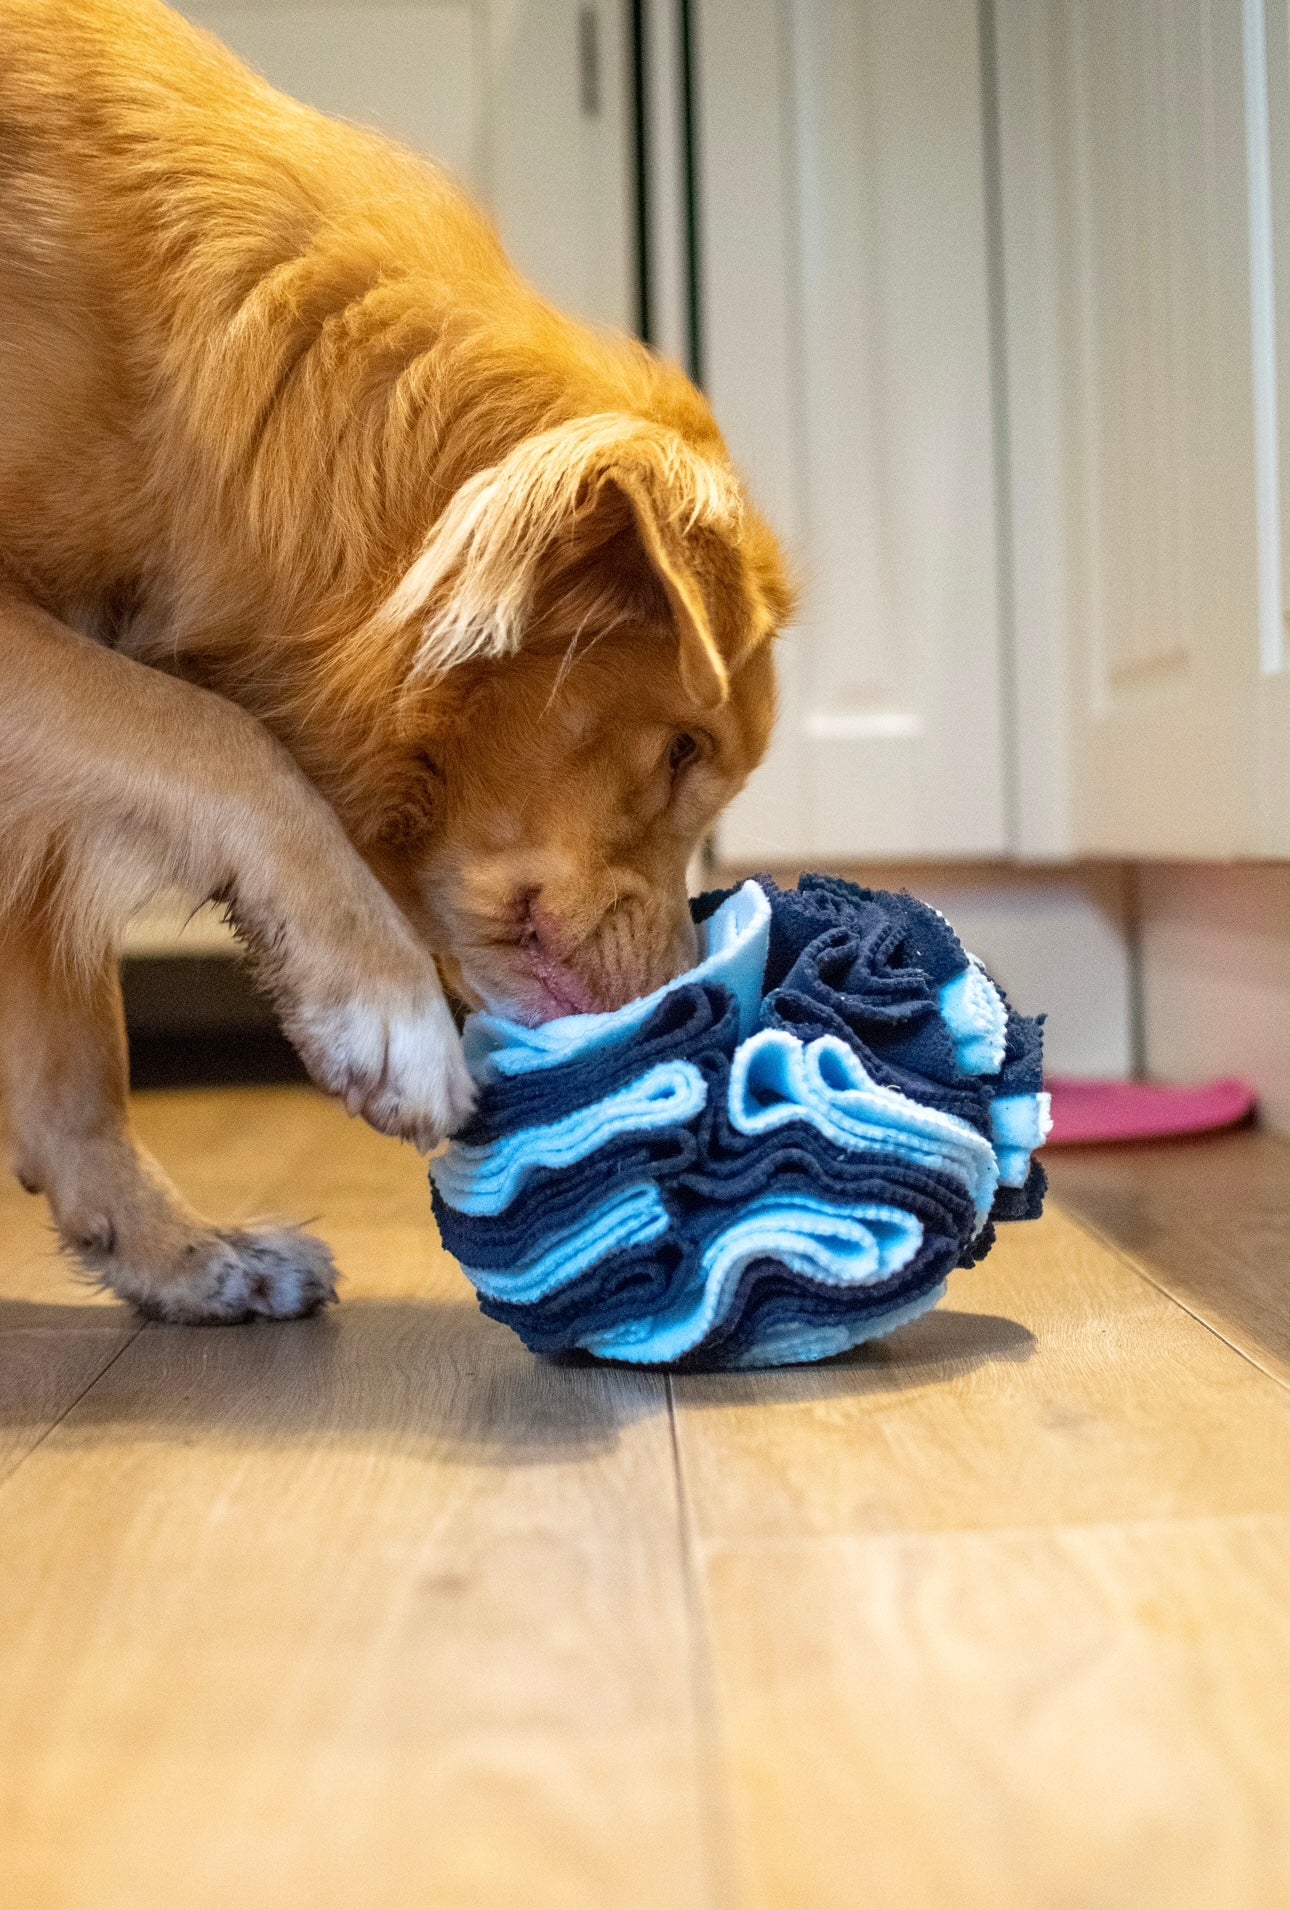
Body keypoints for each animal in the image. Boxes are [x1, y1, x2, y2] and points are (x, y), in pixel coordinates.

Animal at [0, 0, 791, 1329]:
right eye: (685, 749)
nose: (698, 1010)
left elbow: (75, 1054)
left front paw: (173, 1250)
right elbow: (215, 735)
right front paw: (384, 1008)